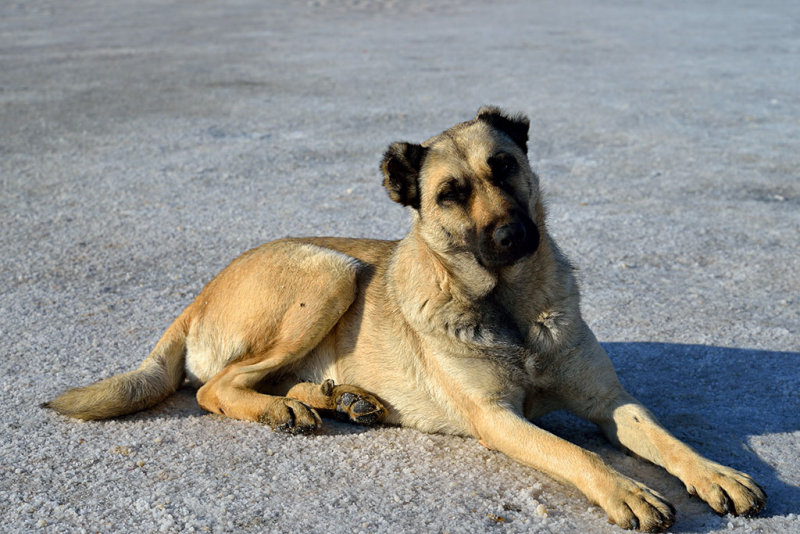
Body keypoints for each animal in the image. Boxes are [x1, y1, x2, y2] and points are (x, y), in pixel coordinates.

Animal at [45, 108, 768, 532]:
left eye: (505, 166)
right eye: (449, 195)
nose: (514, 237)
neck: (507, 306)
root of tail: (197, 297)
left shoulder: (611, 401)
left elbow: (665, 437)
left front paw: (716, 474)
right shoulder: (498, 419)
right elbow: (572, 450)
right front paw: (624, 488)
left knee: (262, 381)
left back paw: (339, 399)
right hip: (331, 270)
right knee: (218, 388)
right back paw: (288, 410)